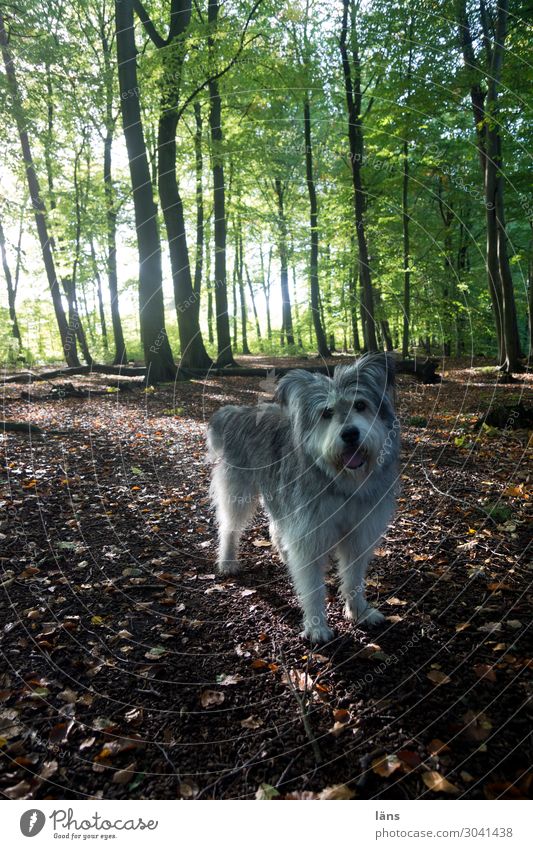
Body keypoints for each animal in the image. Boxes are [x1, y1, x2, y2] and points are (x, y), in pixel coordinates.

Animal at [207, 352, 400, 644]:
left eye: (361, 405)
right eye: (327, 413)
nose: (350, 434)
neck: (341, 480)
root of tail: (238, 412)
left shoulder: (359, 532)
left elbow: (354, 578)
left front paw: (360, 612)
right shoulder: (309, 532)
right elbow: (312, 586)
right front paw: (317, 625)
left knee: (277, 528)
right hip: (238, 492)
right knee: (230, 527)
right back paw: (228, 561)